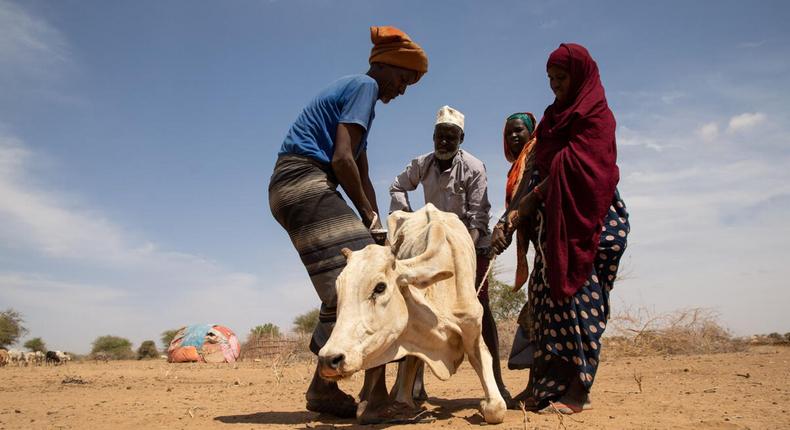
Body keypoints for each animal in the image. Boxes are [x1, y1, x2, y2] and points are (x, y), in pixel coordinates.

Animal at [318, 204, 508, 424]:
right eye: (339, 290)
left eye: (380, 287)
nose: (328, 359)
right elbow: (408, 370)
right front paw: (401, 401)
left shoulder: (473, 330)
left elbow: (496, 408)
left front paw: (485, 404)